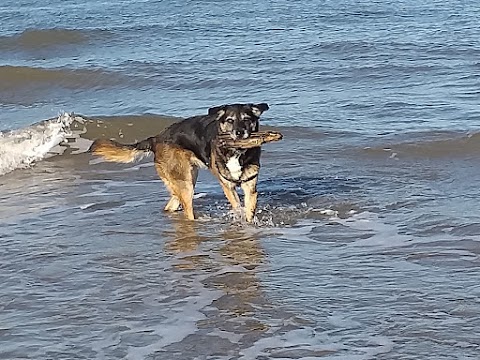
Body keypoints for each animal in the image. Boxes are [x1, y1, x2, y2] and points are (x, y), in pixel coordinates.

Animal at [89, 102, 270, 222]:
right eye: (230, 120)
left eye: (246, 119)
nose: (239, 133)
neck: (237, 152)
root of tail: (156, 138)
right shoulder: (227, 186)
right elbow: (237, 205)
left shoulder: (250, 187)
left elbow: (249, 209)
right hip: (186, 183)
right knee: (187, 210)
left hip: (184, 180)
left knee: (172, 204)